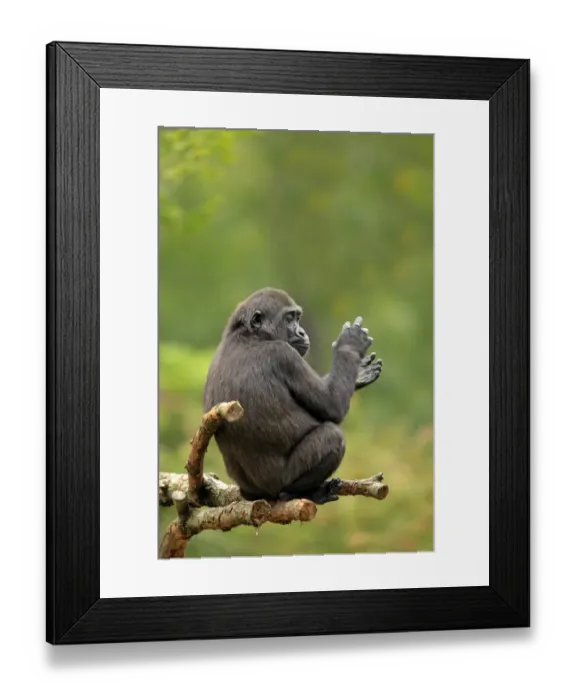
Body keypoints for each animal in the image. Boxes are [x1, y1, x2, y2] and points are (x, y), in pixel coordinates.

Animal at [202, 288, 382, 505]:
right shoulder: (284, 355)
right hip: (279, 482)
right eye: (289, 319)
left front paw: (359, 372)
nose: (301, 332)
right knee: (332, 436)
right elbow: (333, 406)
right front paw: (349, 346)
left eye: (297, 318)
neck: (249, 334)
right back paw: (298, 492)